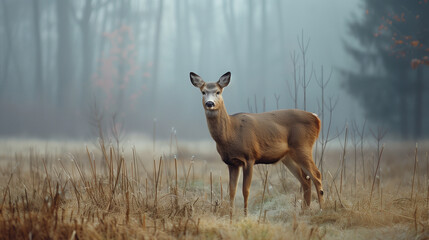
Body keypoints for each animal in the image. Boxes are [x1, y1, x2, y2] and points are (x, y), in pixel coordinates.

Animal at [189, 71, 322, 218]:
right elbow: (232, 191)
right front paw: (231, 216)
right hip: (288, 156)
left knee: (317, 175)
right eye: (203, 92)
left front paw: (245, 215)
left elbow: (245, 190)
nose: (210, 103)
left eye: (218, 92)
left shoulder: (250, 157)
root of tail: (316, 118)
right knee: (305, 180)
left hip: (303, 146)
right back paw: (304, 211)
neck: (231, 133)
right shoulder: (232, 163)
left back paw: (321, 209)